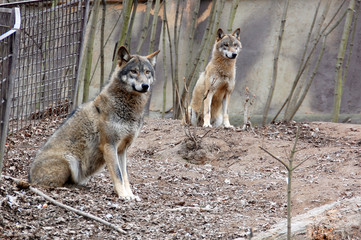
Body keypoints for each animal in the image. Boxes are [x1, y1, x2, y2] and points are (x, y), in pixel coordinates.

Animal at [30, 46, 160, 200]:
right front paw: (123, 195)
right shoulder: (109, 146)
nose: (145, 86)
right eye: (134, 71)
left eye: (147, 72)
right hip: (70, 162)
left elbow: (125, 175)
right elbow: (118, 174)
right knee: (55, 185)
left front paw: (130, 195)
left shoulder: (122, 150)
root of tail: (29, 177)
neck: (129, 109)